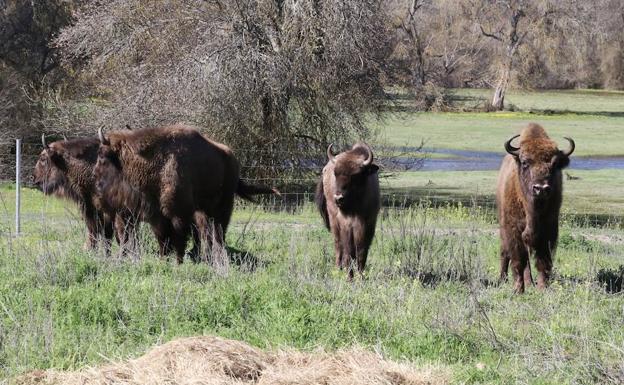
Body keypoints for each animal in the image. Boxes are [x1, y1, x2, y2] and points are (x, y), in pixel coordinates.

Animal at [94, 124, 276, 262]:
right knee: (206, 233)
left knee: (218, 232)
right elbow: (163, 240)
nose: (95, 176)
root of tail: (231, 158)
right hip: (202, 210)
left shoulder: (178, 214)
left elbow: (178, 238)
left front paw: (178, 262)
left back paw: (216, 256)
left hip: (223, 207)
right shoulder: (158, 216)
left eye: (102, 157)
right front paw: (164, 260)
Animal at [316, 142, 380, 278]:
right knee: (338, 244)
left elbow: (361, 251)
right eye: (335, 173)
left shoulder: (368, 223)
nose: (338, 198)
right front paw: (349, 276)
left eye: (355, 175)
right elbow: (348, 251)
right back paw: (338, 268)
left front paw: (361, 275)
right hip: (333, 219)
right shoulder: (346, 224)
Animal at [498, 122, 576, 292]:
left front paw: (542, 288)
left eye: (554, 164)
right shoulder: (513, 229)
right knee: (505, 252)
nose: (541, 188)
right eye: (525, 162)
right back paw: (502, 279)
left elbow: (543, 261)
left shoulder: (549, 230)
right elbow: (518, 261)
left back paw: (530, 283)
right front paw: (518, 290)